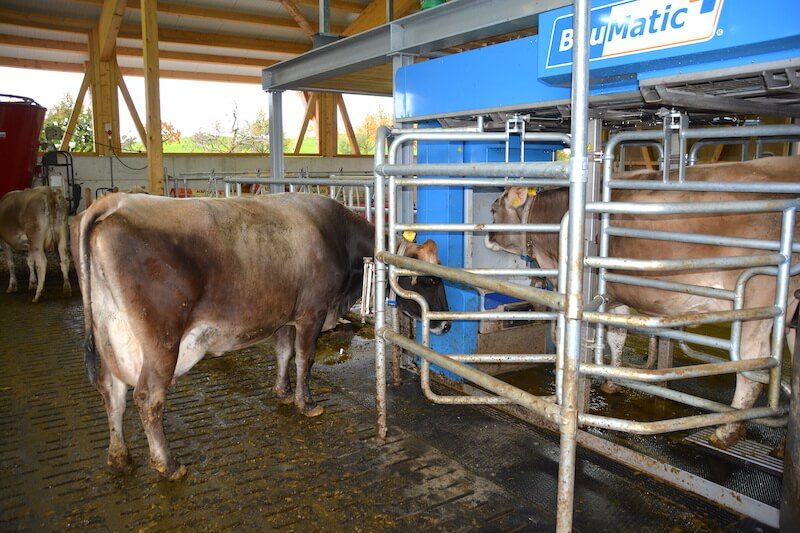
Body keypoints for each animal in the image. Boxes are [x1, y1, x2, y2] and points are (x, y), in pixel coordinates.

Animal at [72, 192, 449, 480]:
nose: (445, 325)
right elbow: (305, 359)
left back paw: (120, 457)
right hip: (161, 341)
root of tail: (115, 202)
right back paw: (168, 465)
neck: (337, 238)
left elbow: (283, 354)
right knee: (148, 398)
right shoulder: (311, 313)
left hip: (113, 333)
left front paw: (281, 392)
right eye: (430, 279)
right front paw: (306, 403)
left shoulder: (284, 317)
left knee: (113, 392)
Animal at [485, 155, 800, 450]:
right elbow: (617, 337)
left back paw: (727, 431)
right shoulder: (615, 296)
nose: (486, 236)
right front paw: (612, 380)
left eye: (492, 209)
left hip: (757, 300)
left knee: (751, 364)